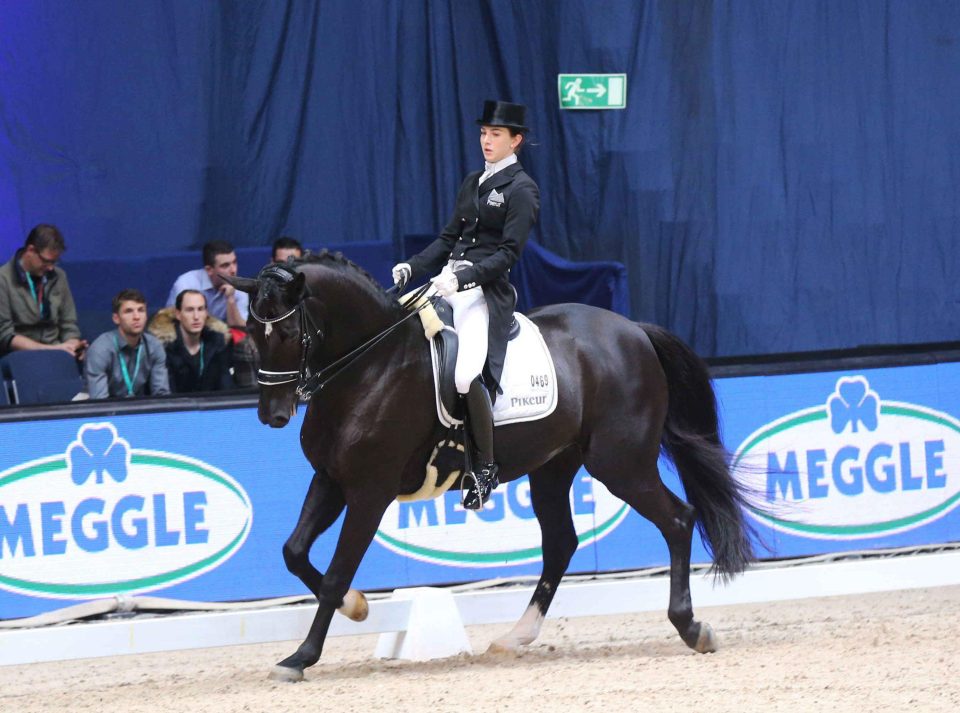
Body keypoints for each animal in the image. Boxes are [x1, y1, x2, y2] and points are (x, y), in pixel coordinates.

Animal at [227, 253, 756, 680]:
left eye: (288, 332)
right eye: (251, 332)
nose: (272, 414)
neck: (372, 365)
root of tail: (633, 330)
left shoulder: (369, 492)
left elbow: (337, 571)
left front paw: (301, 657)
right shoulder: (331, 479)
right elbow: (294, 552)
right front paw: (357, 608)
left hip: (621, 463)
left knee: (677, 519)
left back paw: (691, 627)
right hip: (553, 467)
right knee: (562, 543)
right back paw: (515, 636)